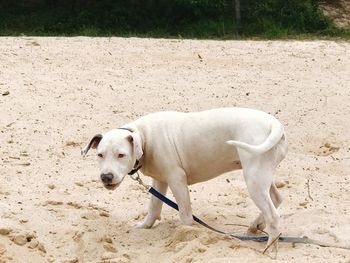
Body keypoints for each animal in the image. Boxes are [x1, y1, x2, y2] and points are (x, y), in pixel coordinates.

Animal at [81, 107, 288, 250]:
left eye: (121, 155)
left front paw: (187, 235)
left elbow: (185, 214)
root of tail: (274, 123)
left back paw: (269, 249)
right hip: (260, 175)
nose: (106, 177)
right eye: (100, 155)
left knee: (273, 215)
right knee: (276, 199)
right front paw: (145, 226)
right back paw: (255, 226)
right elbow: (154, 207)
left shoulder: (176, 180)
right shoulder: (160, 181)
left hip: (254, 179)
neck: (144, 136)